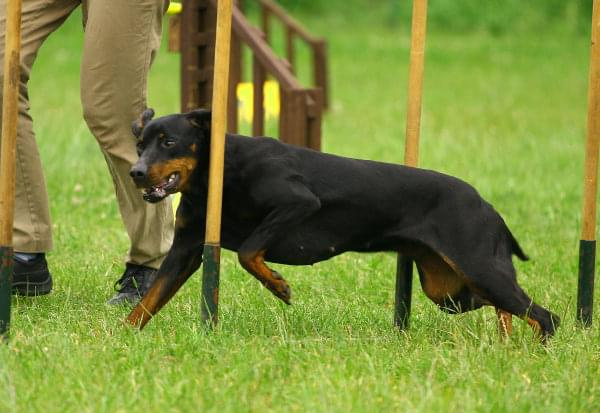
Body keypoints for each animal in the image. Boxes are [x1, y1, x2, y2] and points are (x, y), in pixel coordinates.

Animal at [124, 108, 560, 338]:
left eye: (169, 142)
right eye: (140, 144)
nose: (137, 173)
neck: (221, 171)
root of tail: (486, 205)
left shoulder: (297, 203)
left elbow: (249, 251)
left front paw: (278, 285)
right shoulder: (187, 249)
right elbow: (148, 301)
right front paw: (122, 336)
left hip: (476, 266)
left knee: (543, 315)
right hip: (448, 289)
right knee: (504, 305)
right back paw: (505, 340)